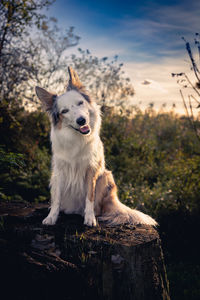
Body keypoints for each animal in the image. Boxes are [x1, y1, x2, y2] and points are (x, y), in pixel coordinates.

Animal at [35, 67, 158, 227]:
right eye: (64, 111)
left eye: (80, 103)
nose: (81, 121)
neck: (76, 138)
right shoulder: (59, 172)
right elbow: (57, 199)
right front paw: (52, 216)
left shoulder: (91, 170)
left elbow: (90, 197)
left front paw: (90, 218)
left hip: (106, 175)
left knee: (99, 207)